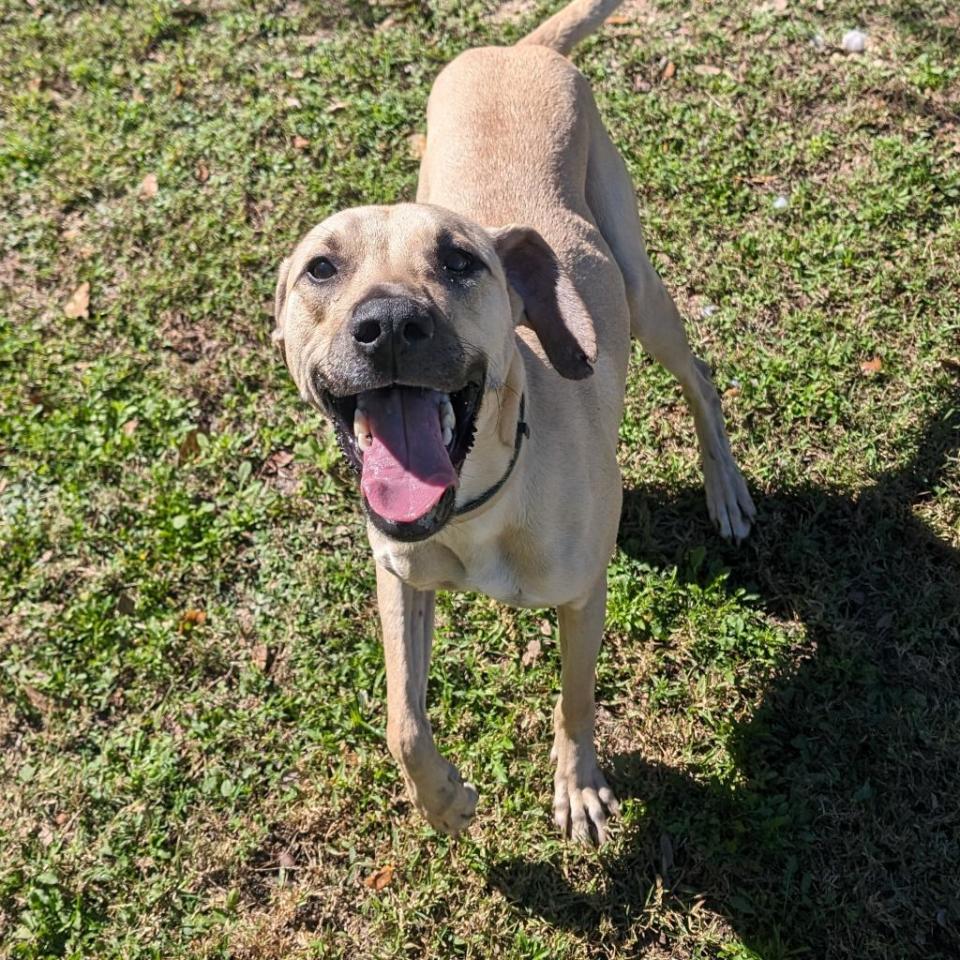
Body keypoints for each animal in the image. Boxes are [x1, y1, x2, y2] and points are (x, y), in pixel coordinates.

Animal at [272, 0, 756, 844]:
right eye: (321, 268)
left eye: (460, 260)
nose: (388, 326)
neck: (477, 507)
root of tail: (520, 48)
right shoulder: (398, 577)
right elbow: (402, 718)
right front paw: (443, 800)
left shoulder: (582, 597)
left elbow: (576, 699)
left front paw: (579, 787)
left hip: (641, 289)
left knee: (701, 379)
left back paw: (724, 488)